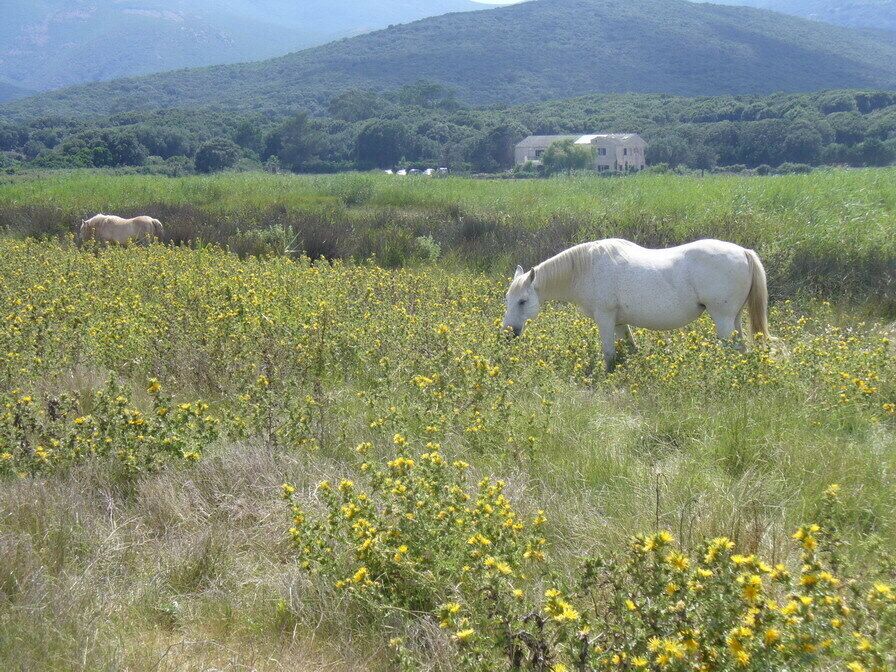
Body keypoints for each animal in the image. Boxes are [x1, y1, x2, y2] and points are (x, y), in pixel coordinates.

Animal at [502, 238, 769, 372]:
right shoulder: (620, 323)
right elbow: (630, 350)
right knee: (741, 349)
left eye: (523, 301)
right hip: (734, 319)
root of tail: (743, 252)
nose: (507, 334)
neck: (585, 269)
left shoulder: (605, 318)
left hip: (723, 319)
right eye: (507, 299)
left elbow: (609, 354)